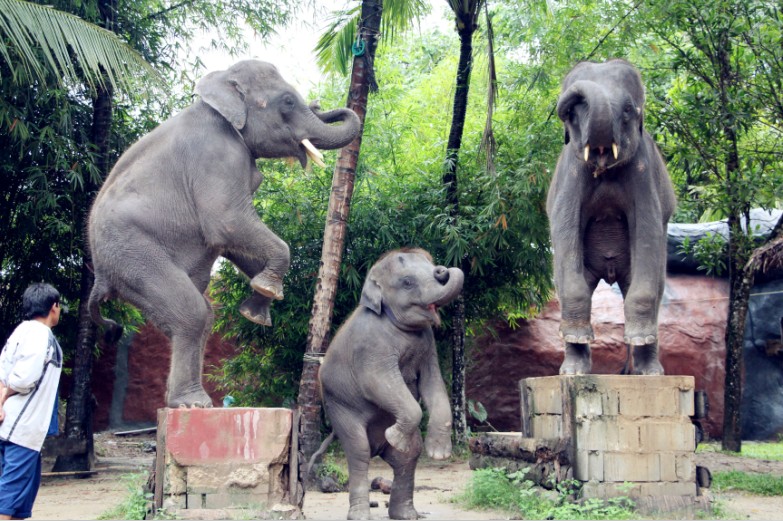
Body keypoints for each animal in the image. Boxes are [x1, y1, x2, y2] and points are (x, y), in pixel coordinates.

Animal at [87, 60, 361, 408]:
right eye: (287, 101)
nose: (320, 104)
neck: (220, 91)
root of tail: (100, 277)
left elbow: (229, 241)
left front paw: (257, 307)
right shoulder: (216, 155)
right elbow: (226, 221)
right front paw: (264, 295)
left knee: (203, 315)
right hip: (131, 252)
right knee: (191, 312)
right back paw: (193, 404)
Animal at [319, 248, 463, 520]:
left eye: (432, 270)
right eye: (407, 282)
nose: (442, 271)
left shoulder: (428, 345)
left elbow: (434, 383)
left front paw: (438, 453)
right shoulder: (370, 347)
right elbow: (377, 383)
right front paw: (395, 435)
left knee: (408, 456)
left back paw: (406, 513)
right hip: (339, 408)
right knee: (359, 452)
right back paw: (360, 514)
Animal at [546, 59, 676, 376]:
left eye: (628, 109)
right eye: (574, 113)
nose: (564, 105)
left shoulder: (643, 171)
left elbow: (648, 230)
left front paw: (639, 339)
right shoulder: (571, 174)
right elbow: (564, 231)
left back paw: (650, 372)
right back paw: (573, 370)